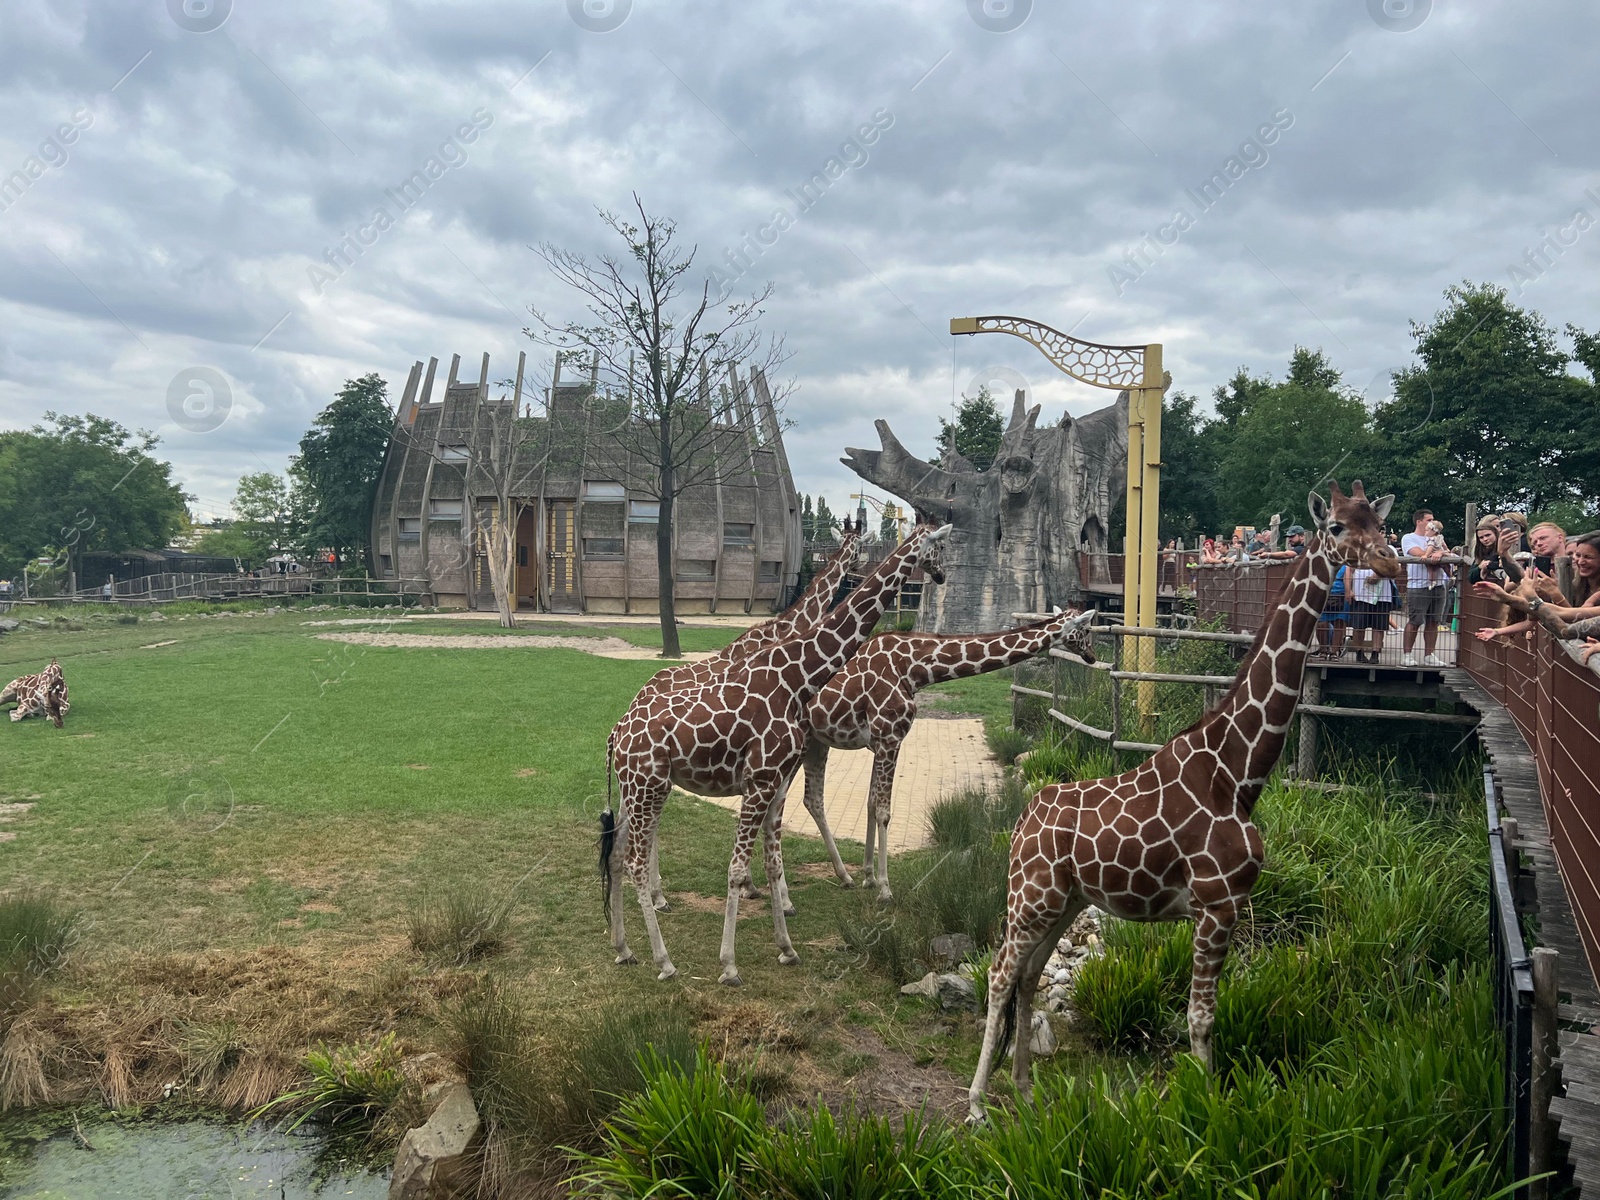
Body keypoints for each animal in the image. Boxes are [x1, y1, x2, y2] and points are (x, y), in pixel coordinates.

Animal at [614, 518, 864, 908]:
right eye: (858, 546)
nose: (856, 572)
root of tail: (636, 699)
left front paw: (755, 885)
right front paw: (765, 890)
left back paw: (655, 893)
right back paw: (657, 895)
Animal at [800, 604, 1100, 896]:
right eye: (1086, 629)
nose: (1092, 656)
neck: (914, 669)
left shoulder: (879, 742)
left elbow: (872, 804)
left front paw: (869, 877)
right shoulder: (890, 737)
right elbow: (884, 811)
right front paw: (885, 888)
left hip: (815, 743)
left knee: (812, 800)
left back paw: (844, 876)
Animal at [960, 483, 1401, 1126]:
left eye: (1380, 522)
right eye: (1339, 527)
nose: (1392, 563)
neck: (1238, 773)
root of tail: (1021, 823)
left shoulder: (1226, 908)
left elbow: (1203, 1016)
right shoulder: (1216, 906)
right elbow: (1199, 1018)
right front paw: (1206, 1109)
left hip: (1065, 900)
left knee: (1027, 975)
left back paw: (1024, 1092)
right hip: (1030, 896)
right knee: (998, 973)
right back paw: (976, 1107)